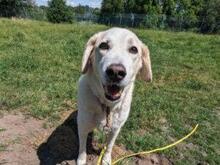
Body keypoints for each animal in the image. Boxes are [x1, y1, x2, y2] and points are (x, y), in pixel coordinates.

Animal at [76, 27, 152, 164]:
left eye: (134, 49)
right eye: (103, 45)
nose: (116, 72)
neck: (107, 106)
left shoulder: (115, 129)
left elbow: (109, 146)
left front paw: (106, 159)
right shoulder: (83, 125)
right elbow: (82, 146)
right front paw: (81, 160)